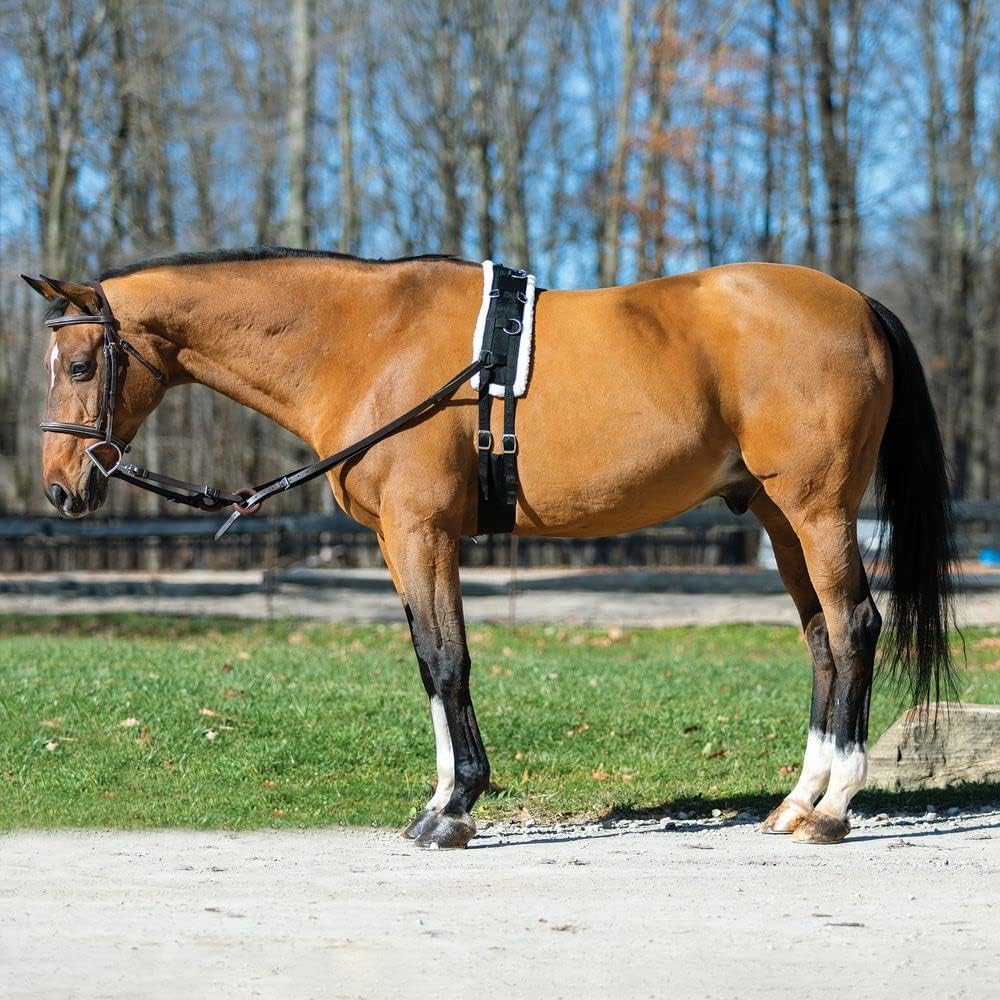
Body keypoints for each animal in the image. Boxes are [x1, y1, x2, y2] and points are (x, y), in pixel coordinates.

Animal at [23, 246, 956, 849]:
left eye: (80, 364)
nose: (61, 487)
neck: (367, 343)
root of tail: (856, 303)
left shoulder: (423, 531)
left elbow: (448, 660)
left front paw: (454, 809)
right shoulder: (398, 542)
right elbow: (428, 664)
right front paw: (440, 797)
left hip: (818, 508)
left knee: (855, 627)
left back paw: (834, 810)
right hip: (777, 514)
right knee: (822, 639)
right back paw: (798, 801)